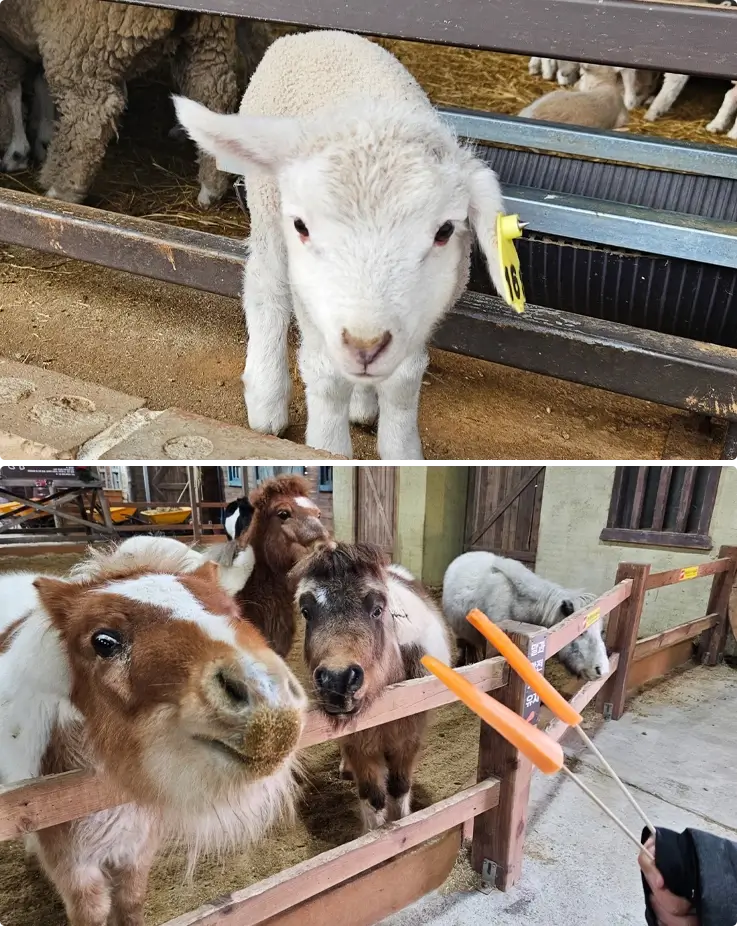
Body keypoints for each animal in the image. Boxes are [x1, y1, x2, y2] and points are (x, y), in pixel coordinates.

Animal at [0, 0, 240, 205]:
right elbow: (34, 83)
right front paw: (41, 137)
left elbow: (11, 85)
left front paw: (17, 152)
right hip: (208, 36)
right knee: (213, 94)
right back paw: (211, 189)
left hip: (81, 37)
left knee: (89, 113)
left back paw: (62, 191)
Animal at [173, 30, 508, 464]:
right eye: (302, 225)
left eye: (445, 231)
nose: (366, 345)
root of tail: (313, 34)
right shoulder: (313, 301)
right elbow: (327, 377)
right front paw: (327, 449)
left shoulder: (423, 311)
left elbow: (404, 380)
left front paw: (402, 454)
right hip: (267, 209)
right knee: (266, 289)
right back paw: (267, 398)